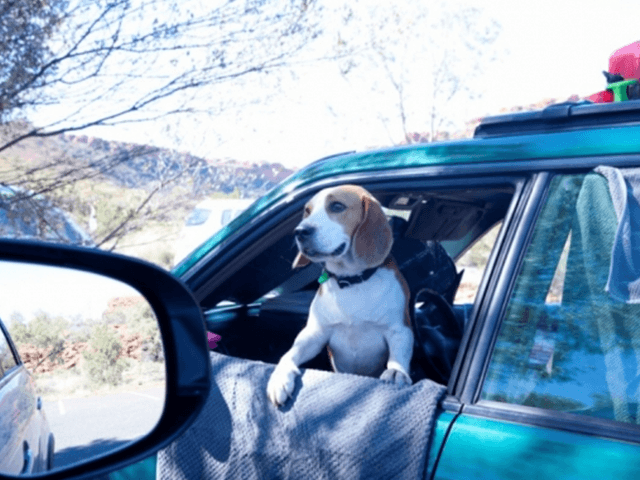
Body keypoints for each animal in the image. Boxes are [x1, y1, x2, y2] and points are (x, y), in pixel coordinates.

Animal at [266, 184, 412, 404]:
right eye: (307, 211)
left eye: (336, 206)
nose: (300, 231)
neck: (351, 282)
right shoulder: (315, 333)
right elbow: (291, 353)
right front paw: (280, 376)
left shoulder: (400, 330)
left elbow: (398, 356)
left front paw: (396, 372)